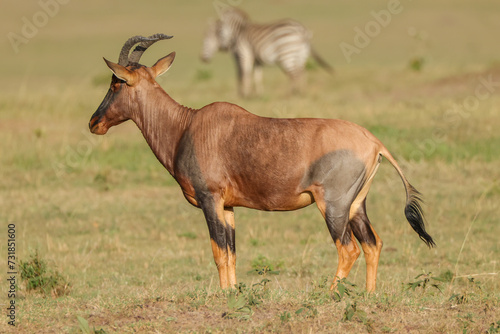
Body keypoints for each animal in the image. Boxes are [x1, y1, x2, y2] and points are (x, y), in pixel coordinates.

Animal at [88, 32, 432, 290]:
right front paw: (232, 294)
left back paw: (330, 295)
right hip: (357, 205)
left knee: (348, 249)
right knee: (373, 244)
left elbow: (217, 251)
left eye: (116, 82)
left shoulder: (210, 200)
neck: (188, 126)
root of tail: (374, 142)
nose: (94, 123)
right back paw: (369, 296)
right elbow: (230, 252)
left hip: (333, 206)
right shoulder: (228, 207)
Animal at [199, 6, 332, 96]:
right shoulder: (257, 59)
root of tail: (302, 29)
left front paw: (245, 94)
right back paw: (302, 92)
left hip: (287, 54)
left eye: (207, 38)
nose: (203, 59)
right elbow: (257, 76)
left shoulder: (243, 54)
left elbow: (244, 73)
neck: (239, 31)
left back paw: (291, 94)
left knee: (294, 74)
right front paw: (258, 94)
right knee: (302, 72)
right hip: (301, 54)